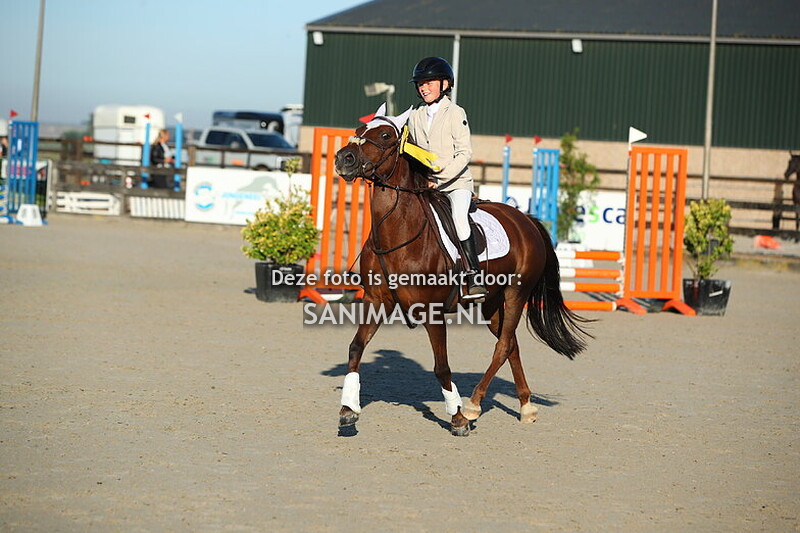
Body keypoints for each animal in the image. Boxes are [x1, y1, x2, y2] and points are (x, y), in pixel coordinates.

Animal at [333, 107, 591, 436]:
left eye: (386, 135)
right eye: (358, 131)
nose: (344, 159)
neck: (398, 233)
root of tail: (526, 220)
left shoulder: (432, 312)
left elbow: (441, 366)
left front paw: (456, 417)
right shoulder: (376, 301)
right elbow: (356, 348)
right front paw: (348, 410)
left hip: (516, 293)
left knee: (503, 346)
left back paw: (472, 405)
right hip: (492, 303)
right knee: (511, 345)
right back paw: (526, 406)